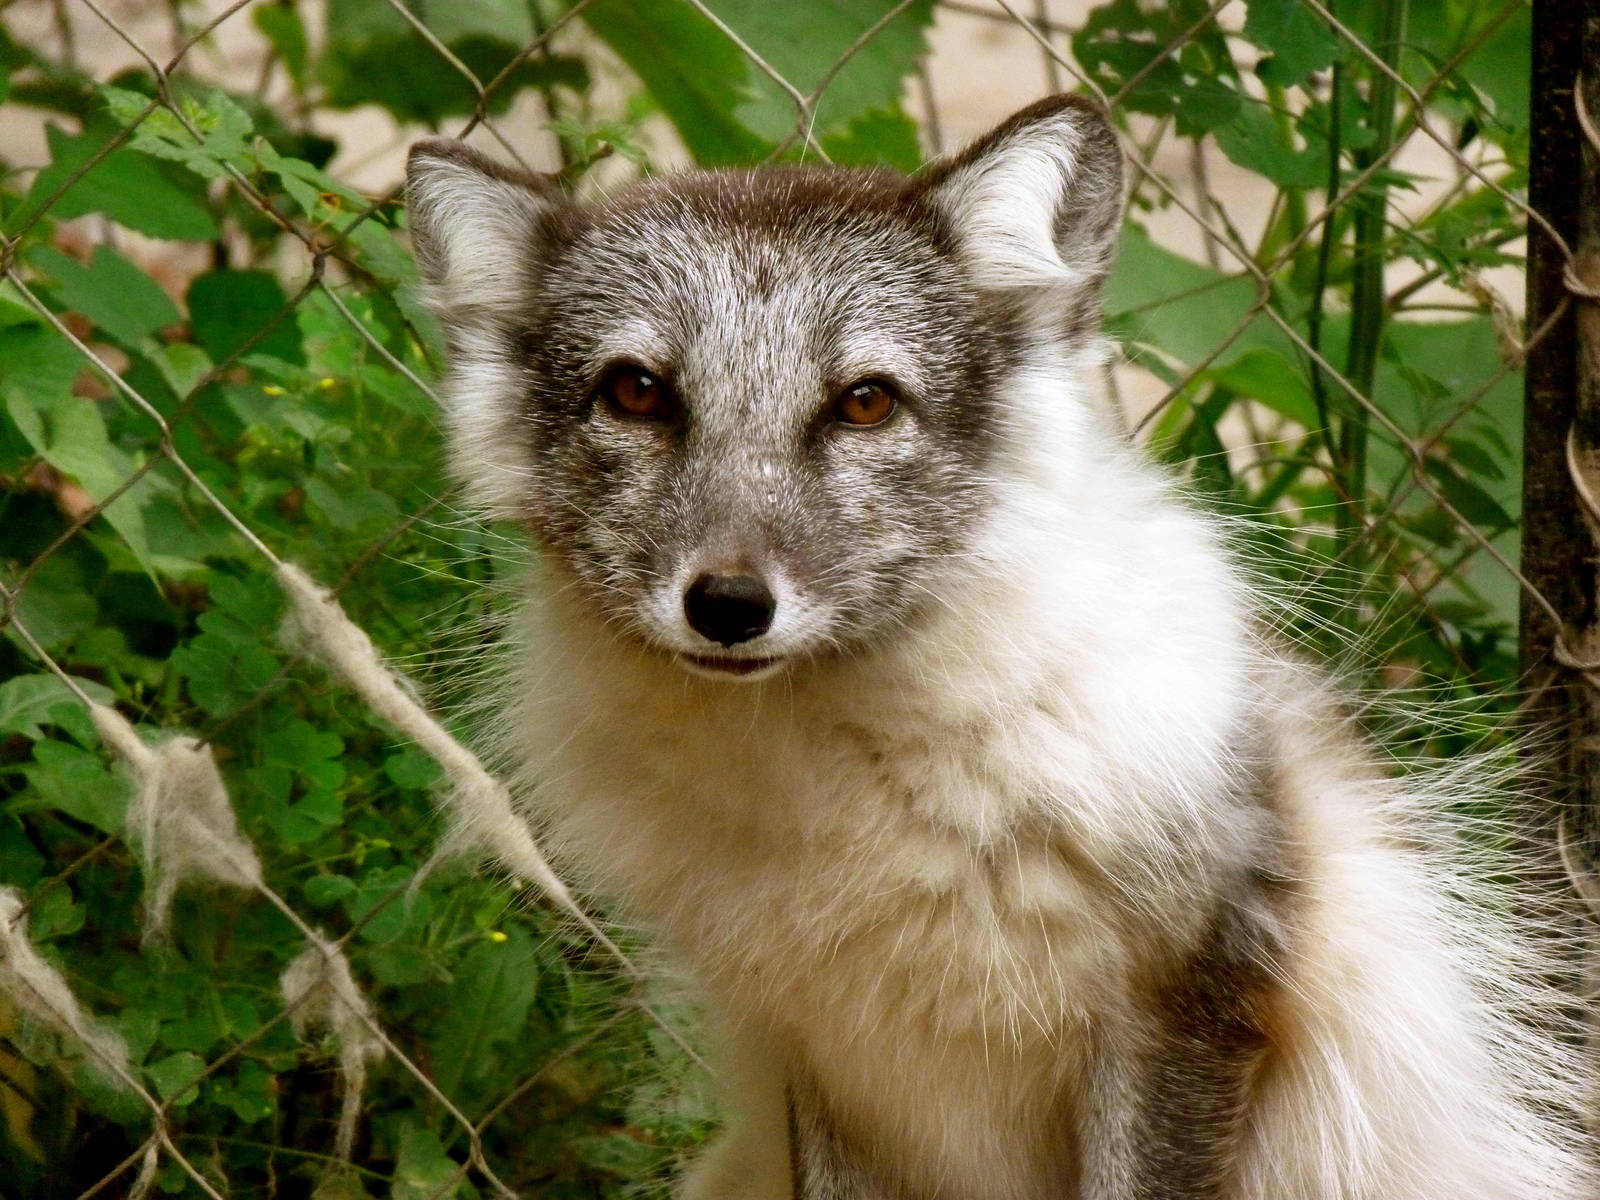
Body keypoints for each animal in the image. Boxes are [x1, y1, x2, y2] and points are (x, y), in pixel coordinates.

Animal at [403, 96, 1594, 1199]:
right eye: (635, 392)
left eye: (865, 403)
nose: (729, 606)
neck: (853, 791)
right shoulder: (830, 1055)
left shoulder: (1192, 997)